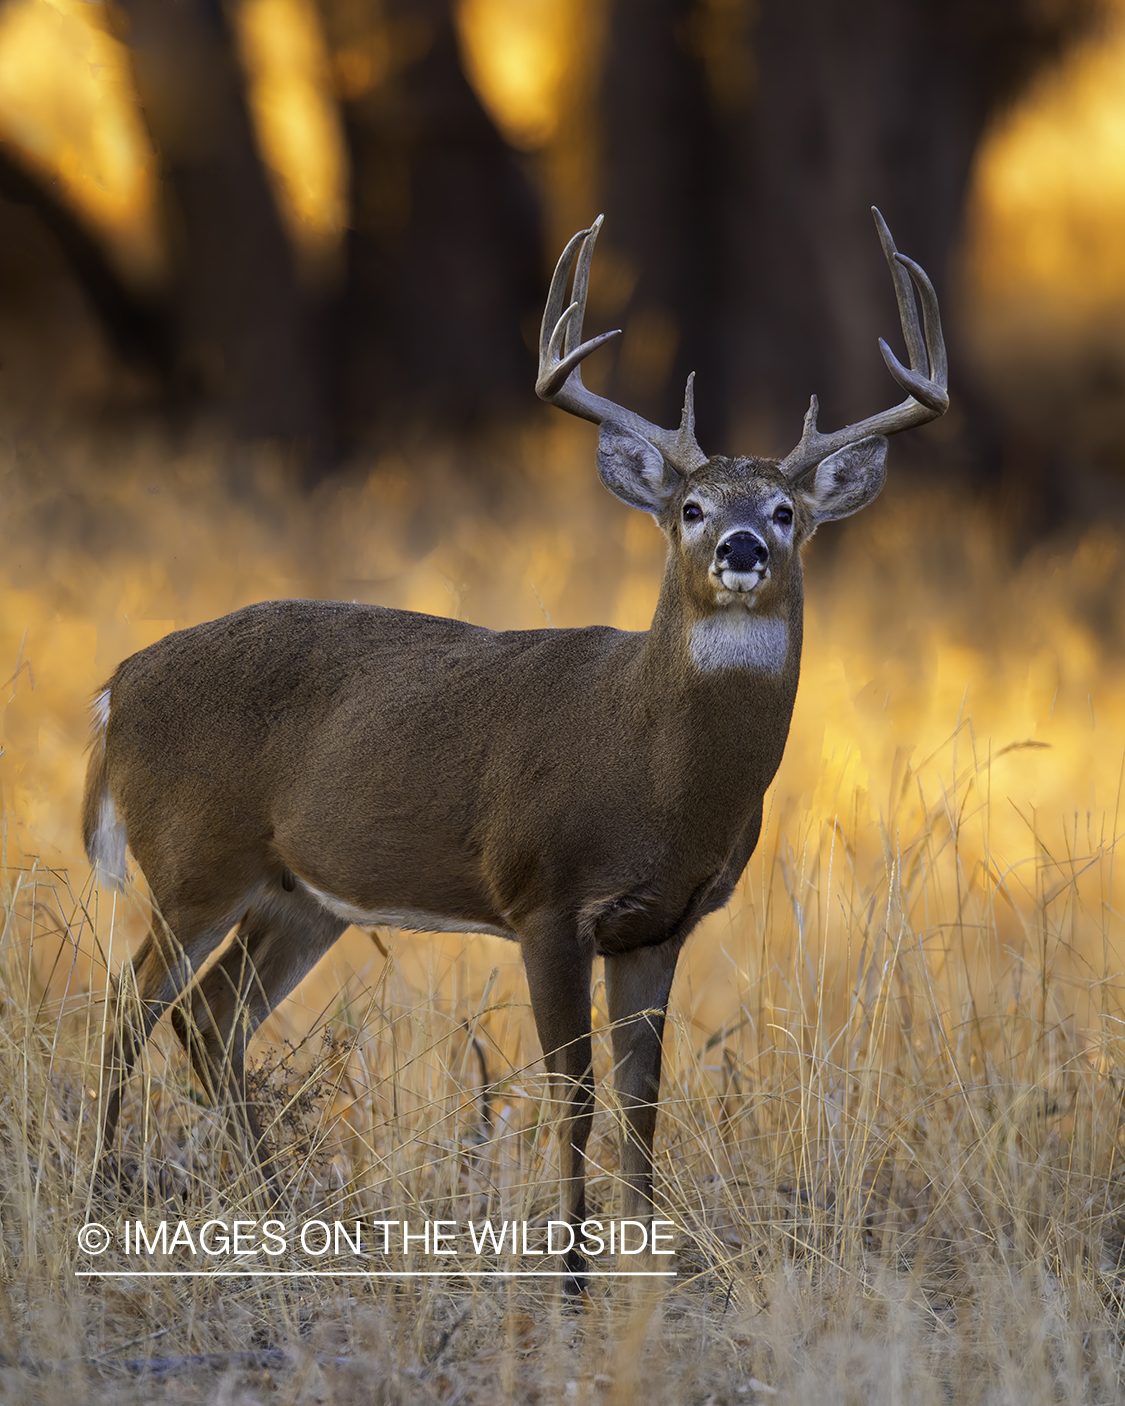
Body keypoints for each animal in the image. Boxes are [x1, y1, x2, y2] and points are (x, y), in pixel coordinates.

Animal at [87, 205, 945, 1287]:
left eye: (787, 509)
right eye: (691, 507)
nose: (743, 547)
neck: (656, 770)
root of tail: (117, 684)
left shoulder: (661, 923)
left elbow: (644, 1102)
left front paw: (644, 1266)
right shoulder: (545, 896)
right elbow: (571, 1093)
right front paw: (571, 1275)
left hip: (298, 896)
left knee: (209, 1017)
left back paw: (279, 1217)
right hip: (194, 860)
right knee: (127, 1009)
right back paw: (97, 1197)